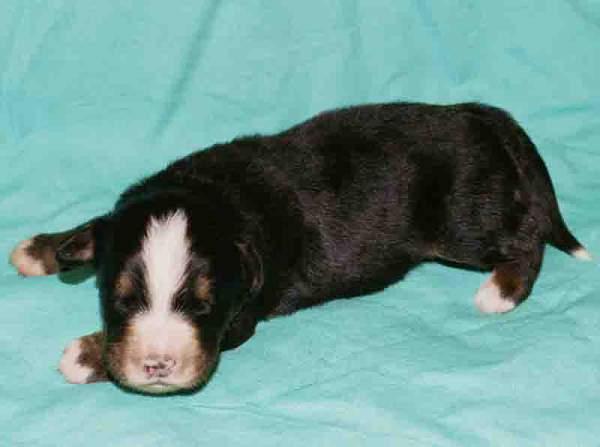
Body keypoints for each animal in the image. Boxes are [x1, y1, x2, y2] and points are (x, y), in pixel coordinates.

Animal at [9, 102, 591, 394]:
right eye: (123, 300)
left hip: (464, 220)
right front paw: (43, 248)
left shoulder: (238, 319)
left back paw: (501, 291)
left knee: (527, 235)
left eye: (203, 306)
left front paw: (84, 354)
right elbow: (93, 229)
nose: (157, 365)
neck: (208, 192)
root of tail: (474, 113)